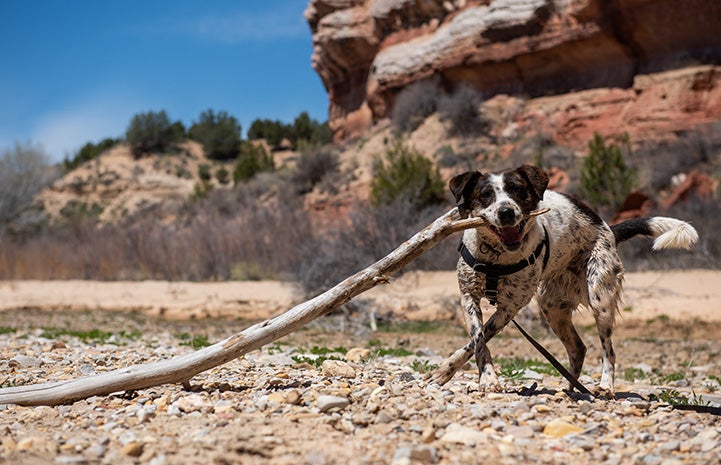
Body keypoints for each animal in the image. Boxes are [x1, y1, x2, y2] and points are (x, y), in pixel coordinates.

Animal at [428, 164, 696, 396]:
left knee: (608, 350)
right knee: (578, 348)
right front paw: (454, 373)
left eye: (517, 190)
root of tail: (608, 227)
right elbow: (477, 340)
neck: (497, 256)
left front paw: (484, 379)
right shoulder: (468, 296)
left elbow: (480, 338)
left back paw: (605, 386)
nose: (507, 212)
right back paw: (571, 389)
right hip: (552, 307)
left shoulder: (511, 307)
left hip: (600, 298)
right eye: (485, 195)